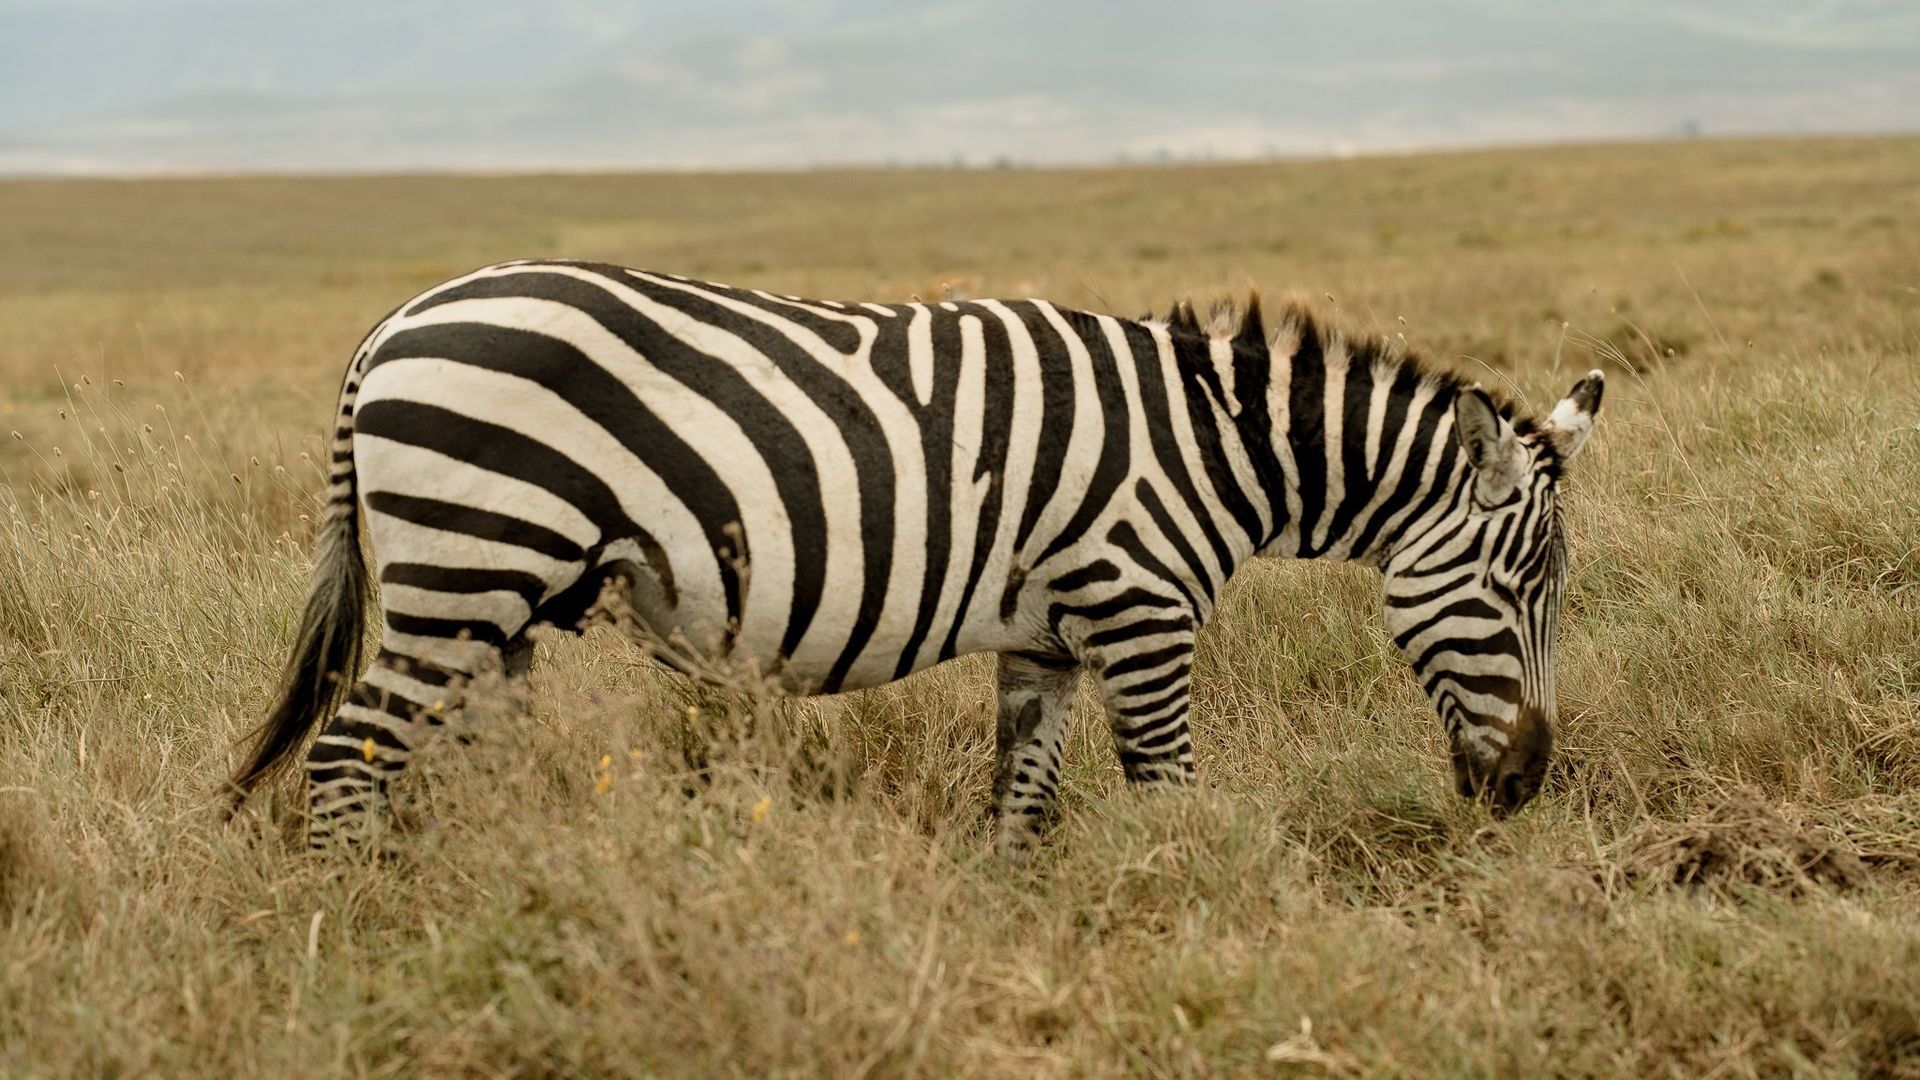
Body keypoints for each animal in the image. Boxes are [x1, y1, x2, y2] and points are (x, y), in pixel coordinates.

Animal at [225, 259, 1604, 856]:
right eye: (1513, 591)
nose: (1528, 784)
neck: (1213, 449)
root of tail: (390, 326)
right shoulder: (1141, 613)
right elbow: (1171, 794)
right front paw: (1193, 920)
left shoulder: (1050, 640)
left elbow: (1021, 809)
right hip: (467, 570)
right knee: (347, 758)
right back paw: (364, 921)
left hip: (500, 601)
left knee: (459, 766)